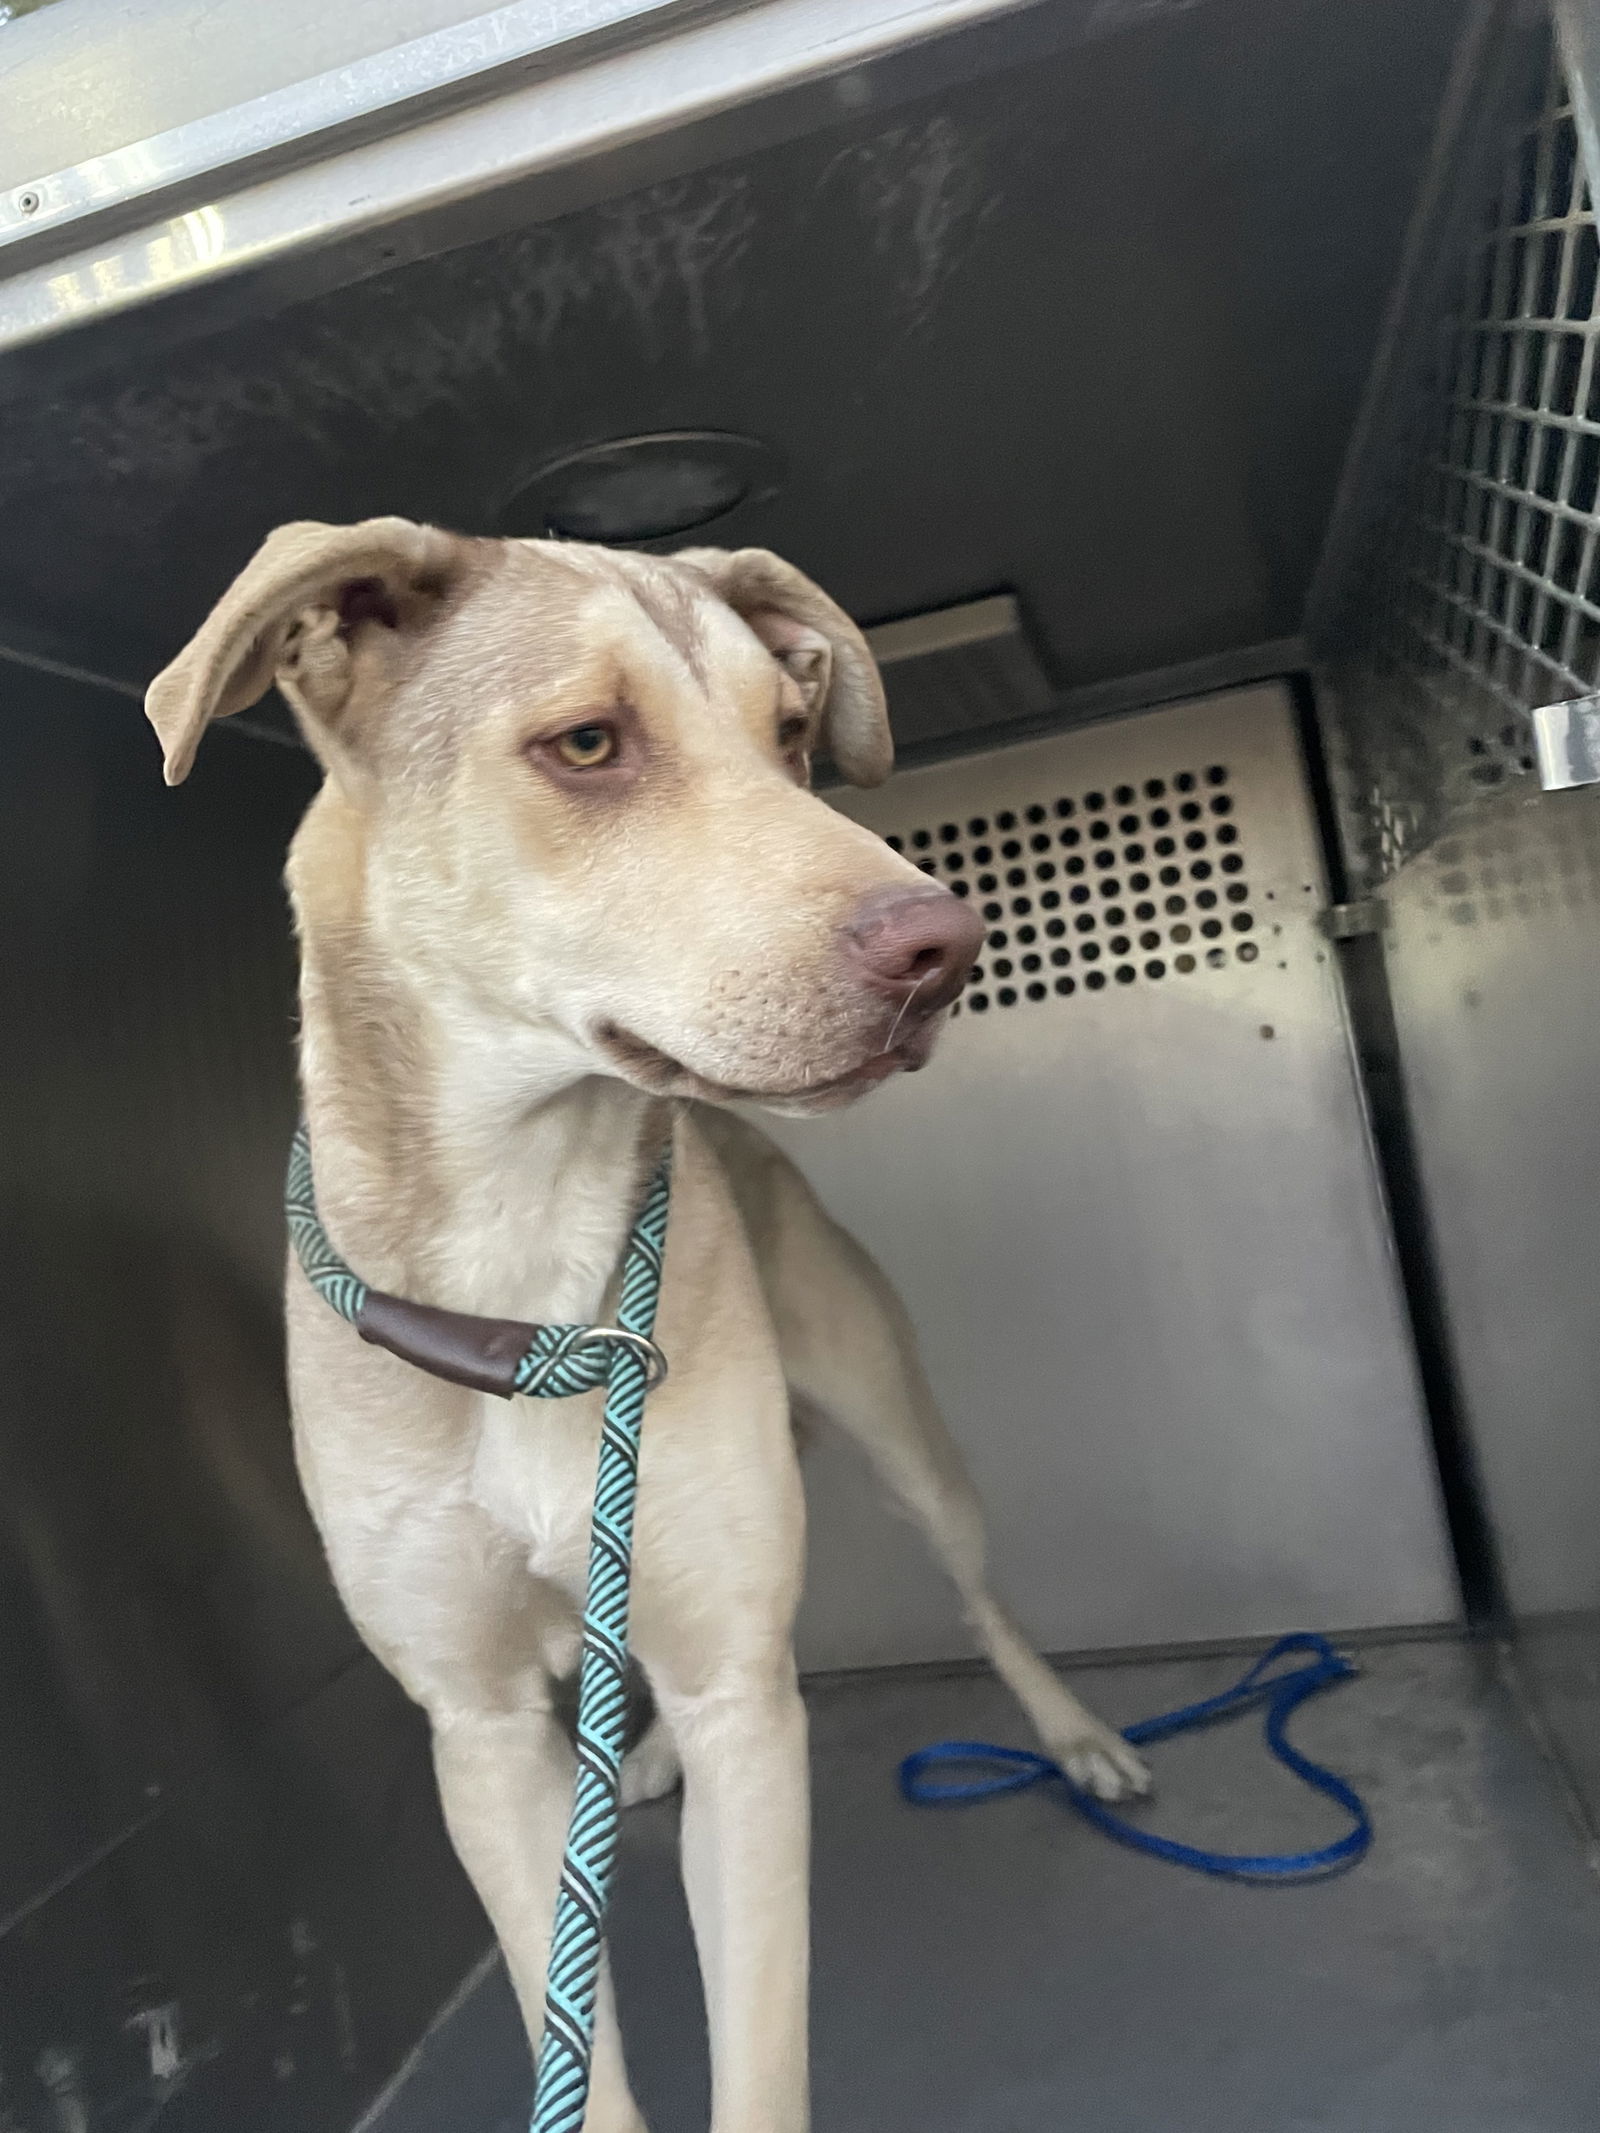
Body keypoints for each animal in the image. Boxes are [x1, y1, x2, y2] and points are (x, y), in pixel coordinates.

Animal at [147, 516, 1152, 2133]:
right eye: (587, 743)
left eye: (793, 734)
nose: (949, 945)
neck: (520, 1270)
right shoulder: (482, 1729)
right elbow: (576, 2037)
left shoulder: (751, 1706)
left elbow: (760, 2058)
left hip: (907, 1448)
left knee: (983, 1599)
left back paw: (1075, 1736)